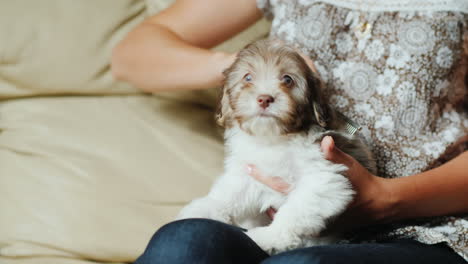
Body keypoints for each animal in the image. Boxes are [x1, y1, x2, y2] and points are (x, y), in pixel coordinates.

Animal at [176, 39, 376, 254]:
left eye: (287, 79)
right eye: (248, 77)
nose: (264, 98)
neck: (276, 138)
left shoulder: (324, 176)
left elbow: (294, 211)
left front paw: (270, 237)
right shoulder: (249, 171)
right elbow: (229, 194)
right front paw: (203, 208)